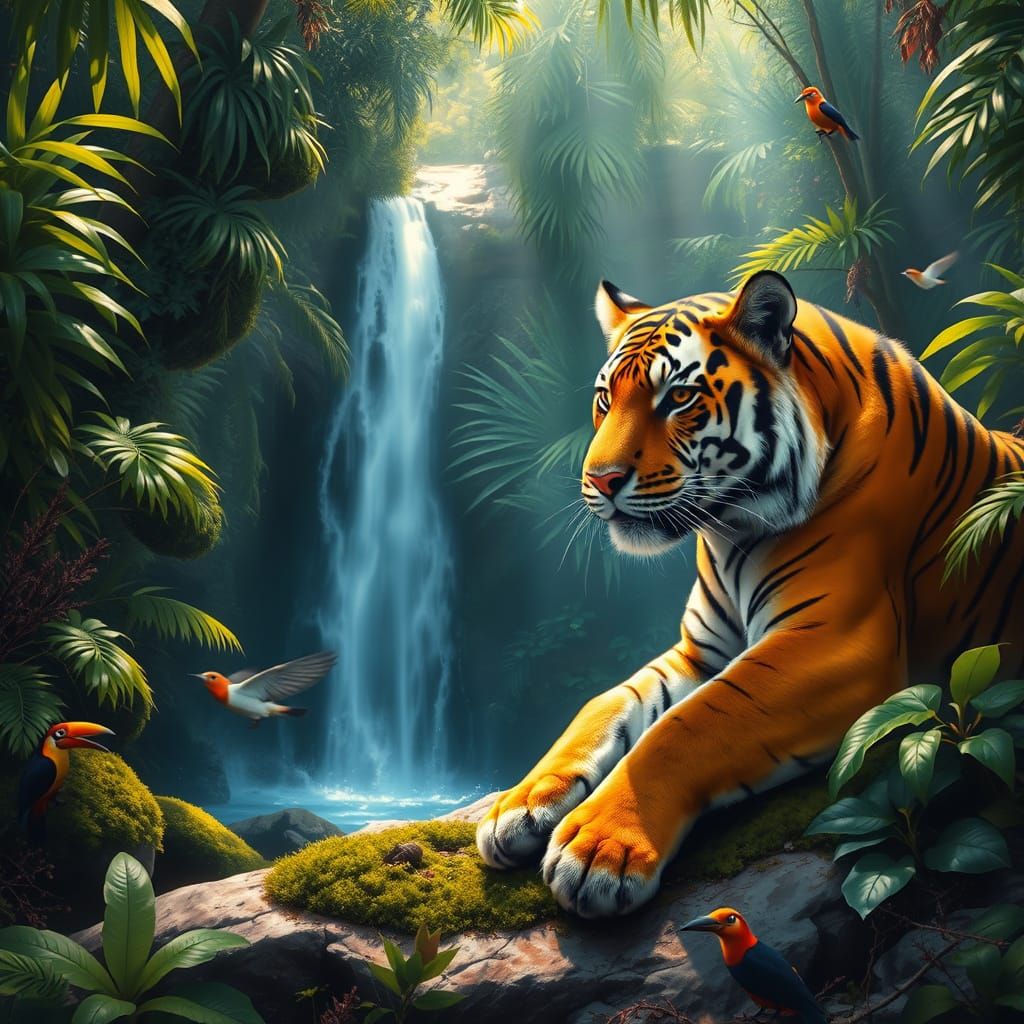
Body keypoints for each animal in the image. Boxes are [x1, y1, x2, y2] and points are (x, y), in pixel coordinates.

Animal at [476, 270, 1024, 918]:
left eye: (677, 399)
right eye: (606, 398)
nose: (599, 480)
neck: (730, 531)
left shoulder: (838, 645)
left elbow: (686, 726)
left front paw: (600, 847)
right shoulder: (701, 651)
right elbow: (606, 703)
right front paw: (521, 803)